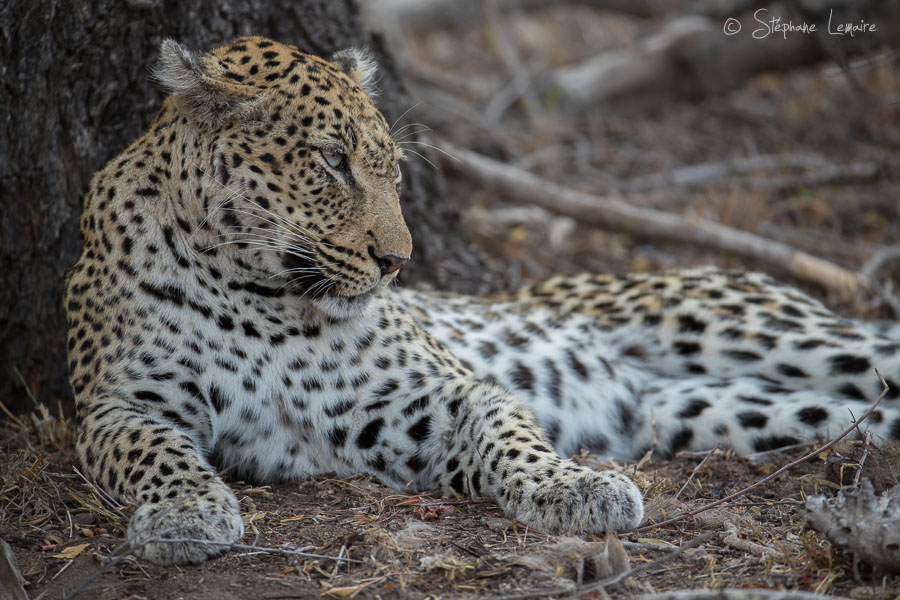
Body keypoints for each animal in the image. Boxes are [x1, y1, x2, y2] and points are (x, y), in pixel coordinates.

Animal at [65, 35, 900, 566]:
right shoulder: (119, 405)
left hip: (762, 330)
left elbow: (510, 432)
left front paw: (579, 485)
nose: (397, 262)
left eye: (393, 169)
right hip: (731, 409)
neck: (256, 296)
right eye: (332, 162)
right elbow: (156, 453)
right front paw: (186, 514)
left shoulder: (440, 391)